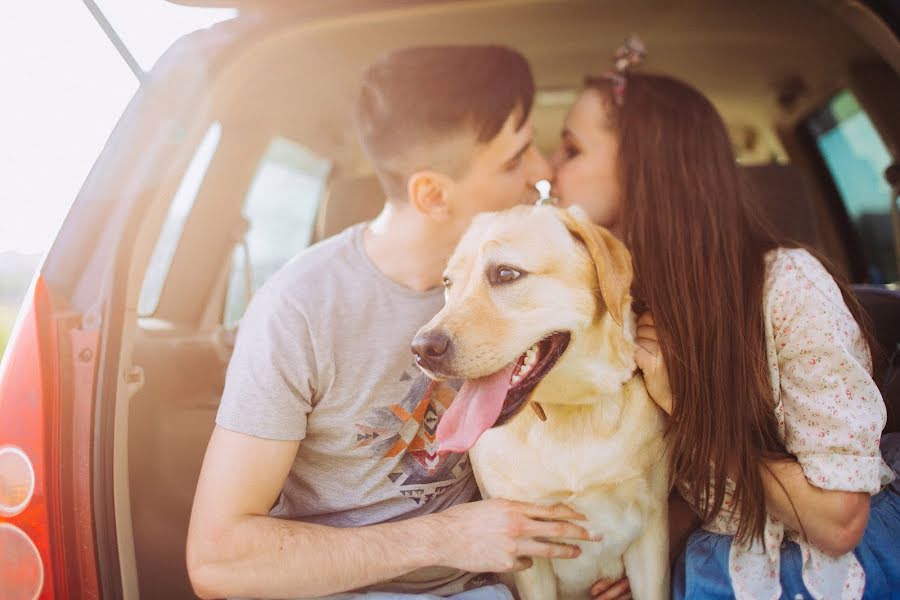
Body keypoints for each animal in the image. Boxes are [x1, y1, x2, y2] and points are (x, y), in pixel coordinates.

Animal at [414, 205, 668, 600]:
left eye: (506, 274)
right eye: (448, 283)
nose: (422, 349)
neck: (573, 412)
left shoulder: (651, 532)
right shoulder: (527, 550)